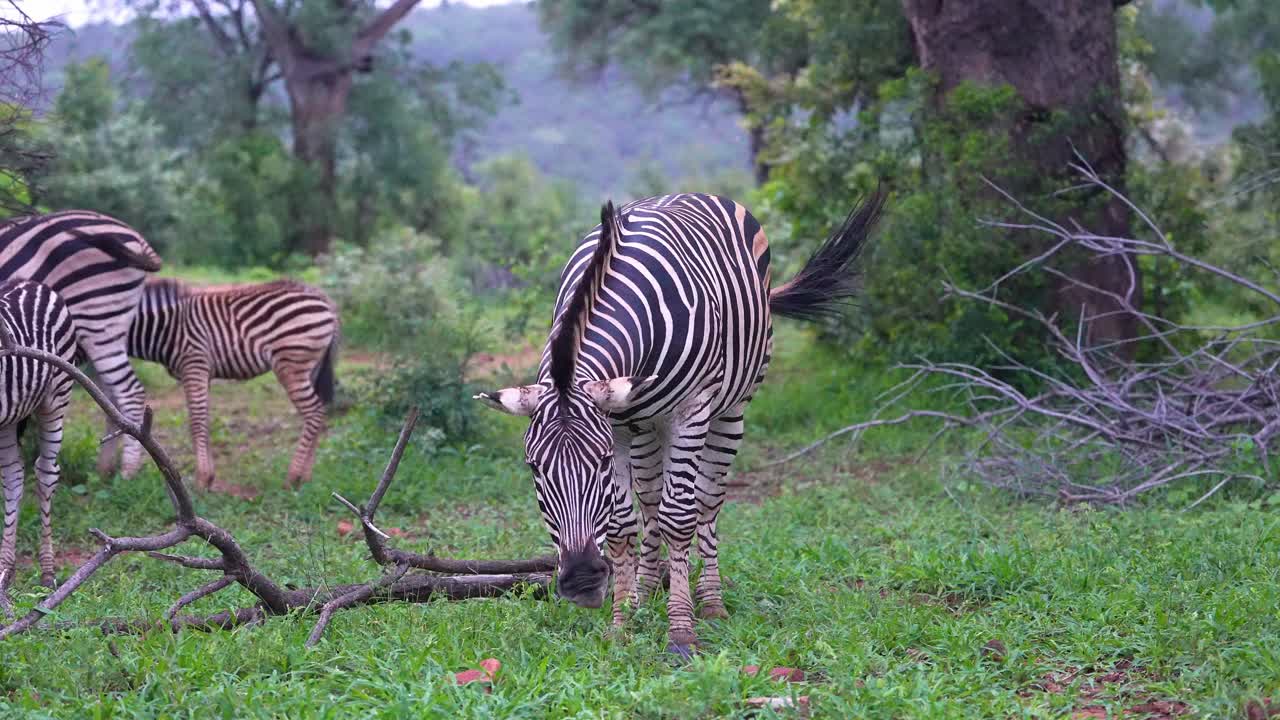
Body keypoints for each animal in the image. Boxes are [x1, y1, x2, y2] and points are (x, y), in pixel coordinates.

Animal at [0, 210, 163, 480]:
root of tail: (135, 236)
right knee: (109, 395)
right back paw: (104, 469)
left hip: (99, 319)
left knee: (130, 391)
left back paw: (128, 472)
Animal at [127, 277, 339, 489]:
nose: (125, 478)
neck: (167, 327)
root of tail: (323, 297)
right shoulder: (202, 374)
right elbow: (204, 419)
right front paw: (209, 477)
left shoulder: (195, 365)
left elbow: (196, 421)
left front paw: (202, 479)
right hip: (311, 367)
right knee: (319, 411)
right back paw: (306, 477)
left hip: (292, 363)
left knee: (314, 411)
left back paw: (293, 477)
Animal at [476, 190, 884, 656]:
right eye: (534, 468)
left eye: (600, 463)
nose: (581, 583)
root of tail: (696, 195)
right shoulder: (618, 422)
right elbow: (621, 525)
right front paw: (622, 622)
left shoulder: (688, 411)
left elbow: (679, 516)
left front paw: (681, 630)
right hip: (646, 423)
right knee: (650, 500)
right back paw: (647, 588)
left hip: (729, 408)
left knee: (706, 500)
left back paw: (711, 601)